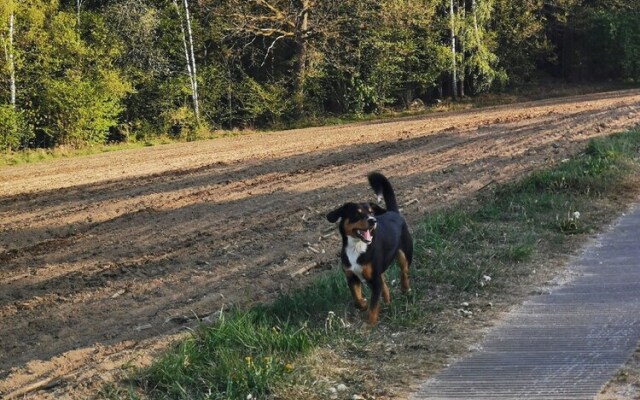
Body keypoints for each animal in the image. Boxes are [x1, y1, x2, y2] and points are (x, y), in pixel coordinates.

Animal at [328, 172, 412, 324]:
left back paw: (404, 288)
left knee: (404, 271)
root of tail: (393, 212)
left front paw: (369, 324)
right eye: (357, 213)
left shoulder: (374, 281)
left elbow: (373, 306)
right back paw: (388, 300)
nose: (373, 220)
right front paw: (363, 304)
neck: (357, 247)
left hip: (405, 254)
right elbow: (357, 299)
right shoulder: (352, 277)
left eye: (371, 212)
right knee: (385, 284)